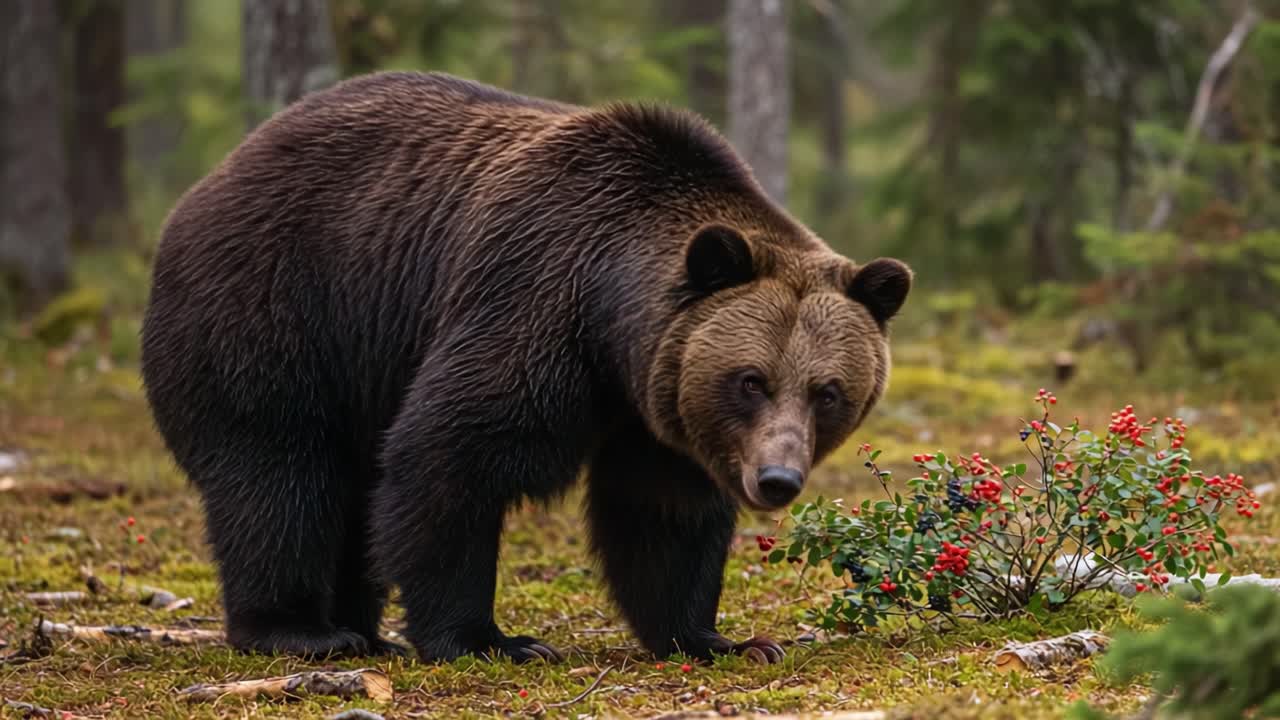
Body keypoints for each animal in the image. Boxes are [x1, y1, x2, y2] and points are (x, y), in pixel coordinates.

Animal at [139, 71, 911, 664]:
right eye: (751, 380)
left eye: (828, 391)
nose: (775, 479)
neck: (611, 323)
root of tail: (205, 185)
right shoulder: (534, 300)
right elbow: (450, 454)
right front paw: (491, 639)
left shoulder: (659, 406)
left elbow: (662, 515)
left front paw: (723, 638)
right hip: (276, 312)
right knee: (277, 473)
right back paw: (302, 630)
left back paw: (363, 629)